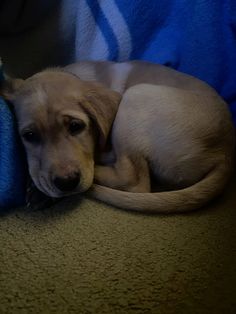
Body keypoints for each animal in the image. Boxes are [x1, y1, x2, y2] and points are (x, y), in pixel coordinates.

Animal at [0, 60, 235, 213]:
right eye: (30, 135)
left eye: (76, 126)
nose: (66, 183)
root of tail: (225, 152)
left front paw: (41, 192)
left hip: (135, 96)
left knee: (134, 182)